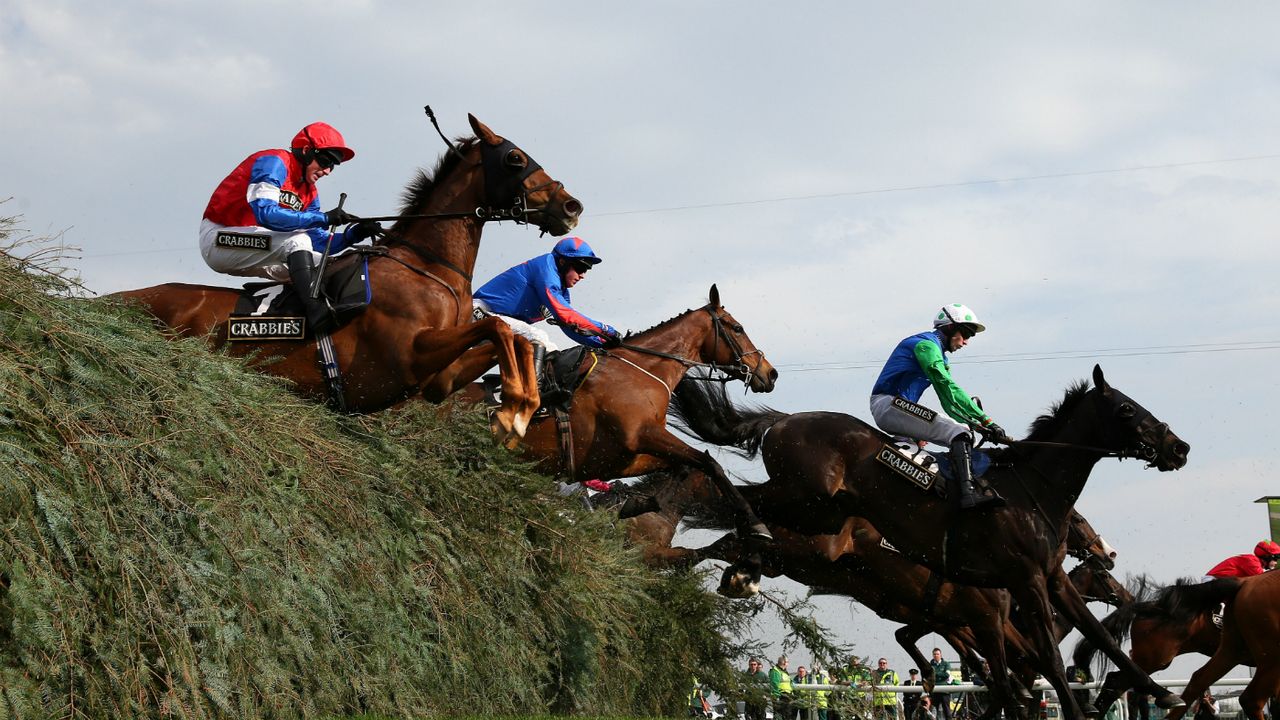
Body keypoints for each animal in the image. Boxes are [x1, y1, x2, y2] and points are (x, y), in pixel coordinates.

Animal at [115, 112, 586, 440]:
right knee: (294, 240)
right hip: (222, 245)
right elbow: (498, 329)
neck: (430, 268)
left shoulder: (437, 380)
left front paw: (521, 405)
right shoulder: (408, 356)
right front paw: (513, 412)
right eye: (515, 158)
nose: (571, 206)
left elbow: (512, 338)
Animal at [460, 285, 778, 538]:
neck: (640, 371)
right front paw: (755, 523)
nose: (770, 373)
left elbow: (682, 467)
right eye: (737, 328)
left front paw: (635, 504)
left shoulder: (619, 459)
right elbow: (708, 462)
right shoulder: (641, 436)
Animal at [670, 363, 1187, 717]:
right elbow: (1047, 662)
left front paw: (1161, 692)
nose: (1178, 447)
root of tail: (784, 420)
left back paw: (732, 564)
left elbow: (1095, 636)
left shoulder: (1048, 580)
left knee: (731, 512)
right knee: (729, 499)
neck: (1029, 493)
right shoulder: (1020, 585)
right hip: (802, 499)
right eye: (1126, 408)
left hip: (816, 513)